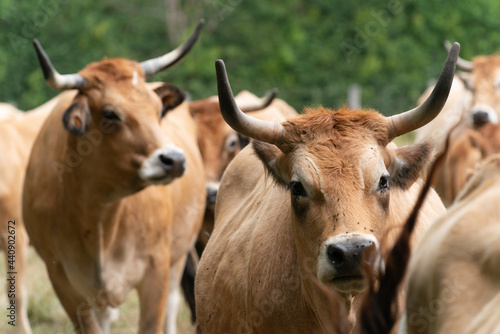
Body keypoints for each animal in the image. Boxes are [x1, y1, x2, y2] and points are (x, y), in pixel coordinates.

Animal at [22, 21, 206, 334]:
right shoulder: (63, 281)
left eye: (158, 110)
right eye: (110, 113)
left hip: (179, 256)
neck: (98, 217)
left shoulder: (156, 269)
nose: (174, 160)